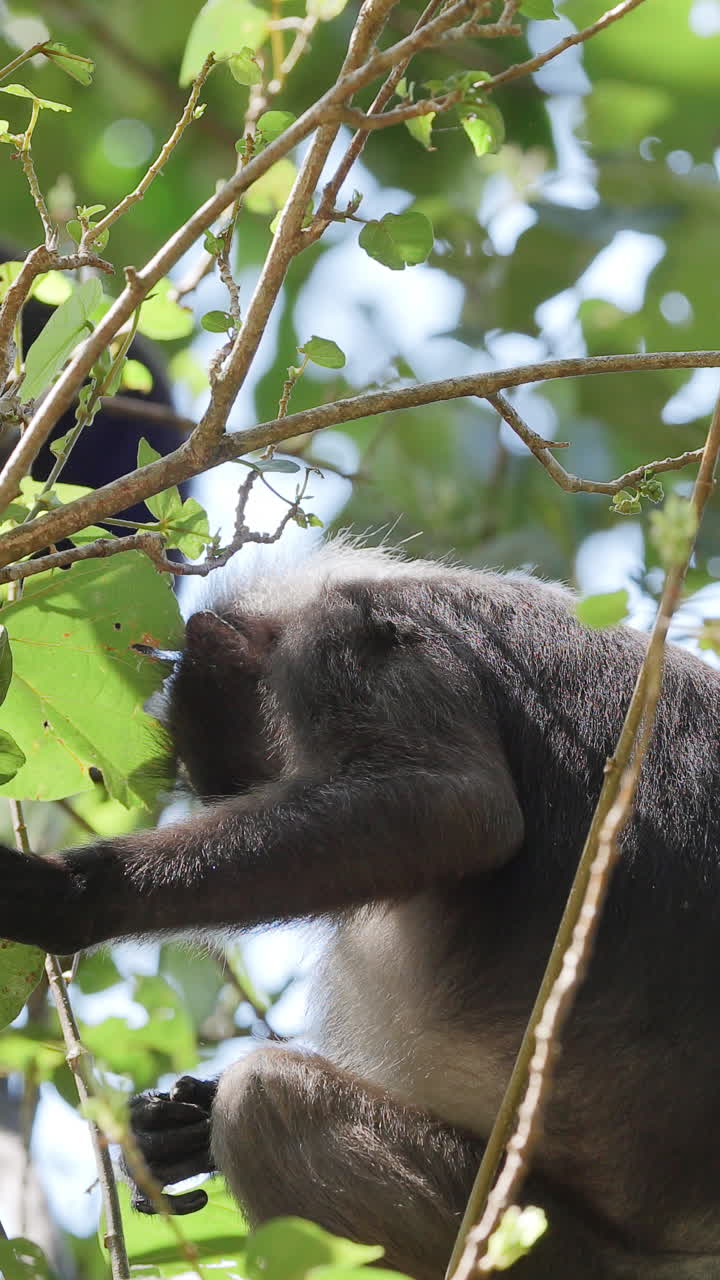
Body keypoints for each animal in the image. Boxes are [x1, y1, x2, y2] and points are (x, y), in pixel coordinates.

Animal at [1, 540, 720, 1279]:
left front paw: (73, 894)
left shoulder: (344, 633)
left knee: (262, 1100)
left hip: (537, 1239)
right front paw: (171, 1130)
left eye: (260, 781)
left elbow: (455, 806)